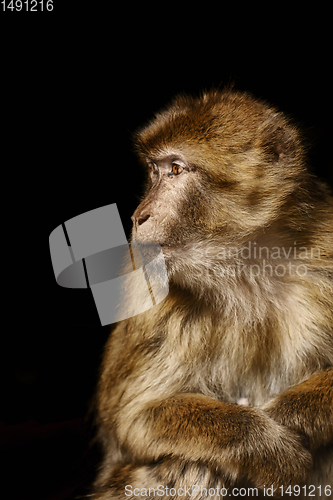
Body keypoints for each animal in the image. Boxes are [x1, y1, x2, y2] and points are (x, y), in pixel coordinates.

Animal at [89, 90, 330, 500]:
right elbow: (136, 417)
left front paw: (285, 414)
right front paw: (265, 442)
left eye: (175, 170)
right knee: (191, 464)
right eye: (154, 170)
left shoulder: (325, 257)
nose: (138, 216)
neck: (243, 269)